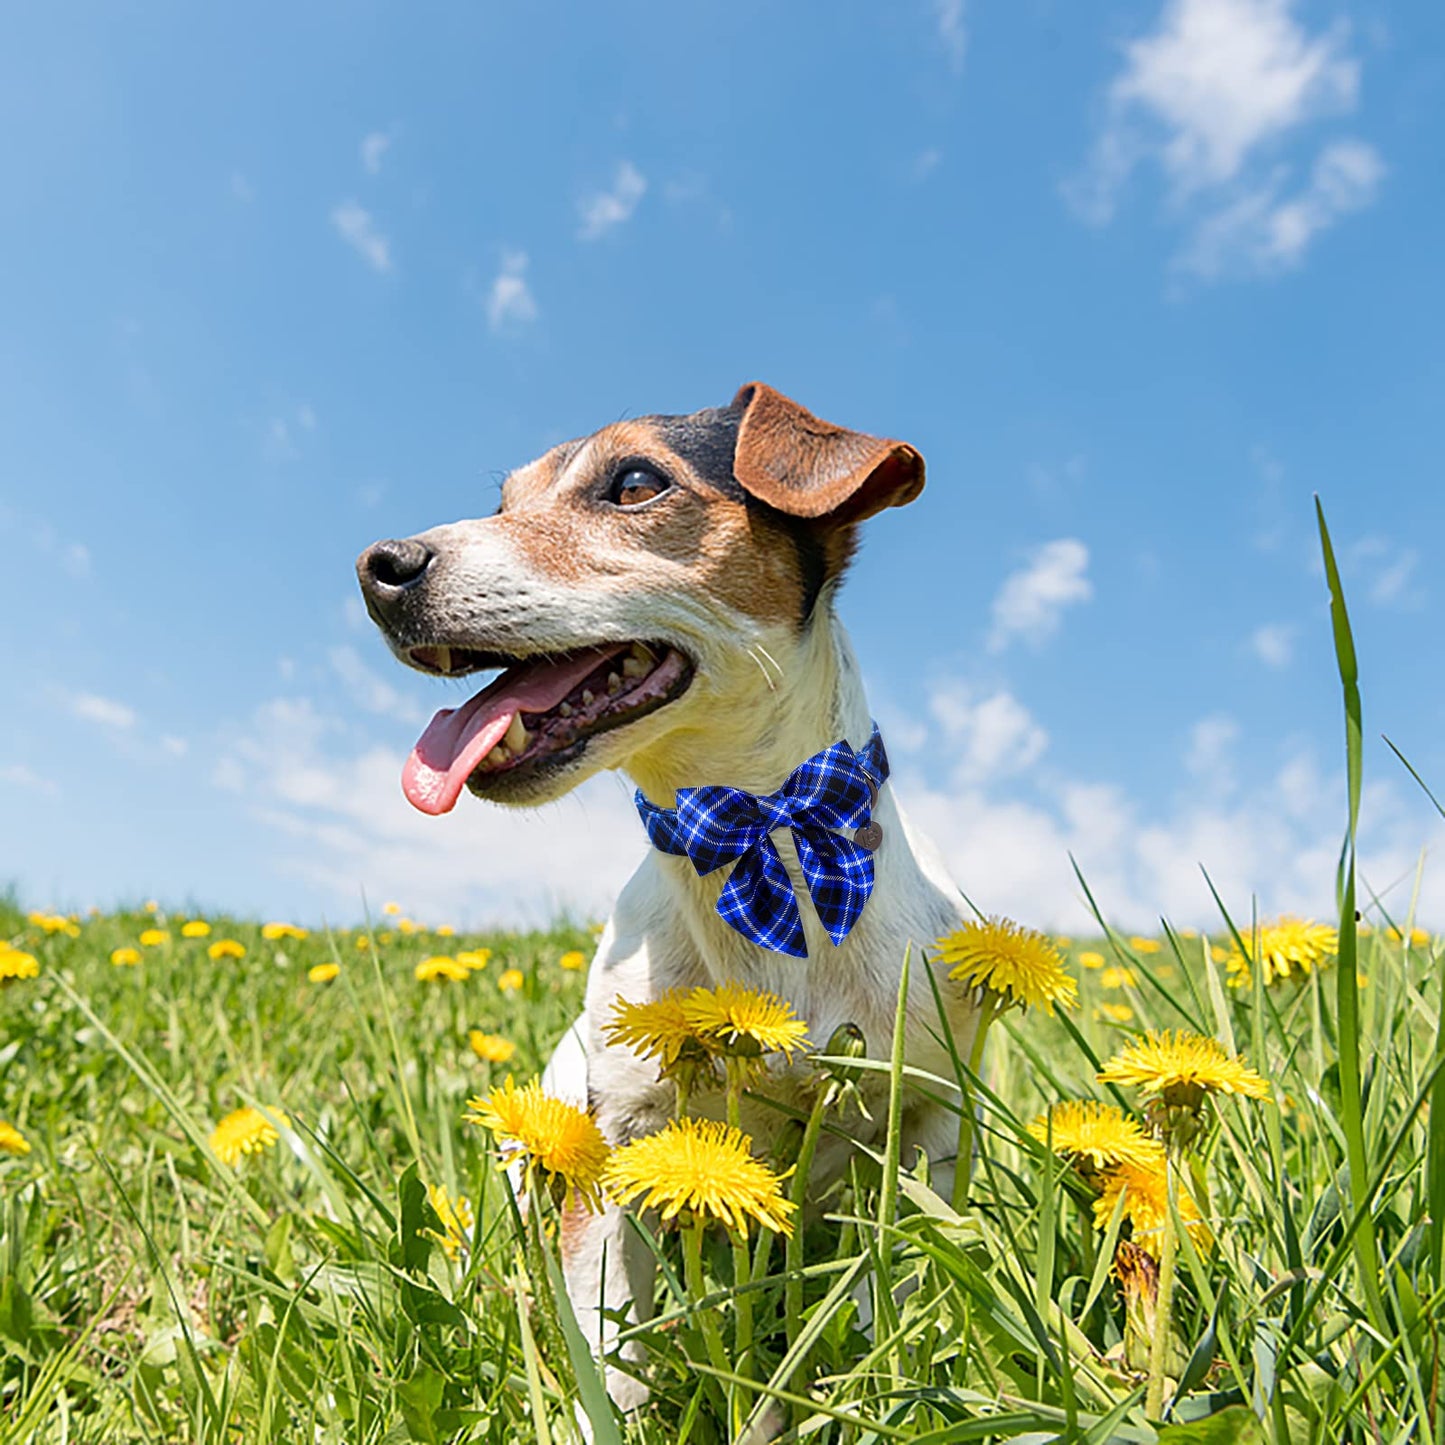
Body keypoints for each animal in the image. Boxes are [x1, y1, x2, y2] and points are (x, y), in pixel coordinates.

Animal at [358, 384, 982, 1410]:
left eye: (635, 483)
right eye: (503, 502)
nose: (378, 568)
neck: (757, 844)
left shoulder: (926, 1124)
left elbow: (889, 1302)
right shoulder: (623, 1146)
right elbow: (609, 1356)